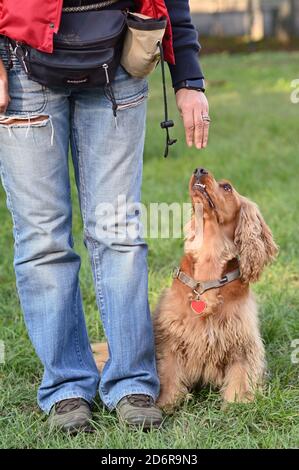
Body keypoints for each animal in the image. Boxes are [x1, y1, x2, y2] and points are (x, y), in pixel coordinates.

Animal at [92, 168, 278, 408]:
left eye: (227, 187)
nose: (199, 169)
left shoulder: (241, 338)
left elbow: (240, 374)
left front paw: (238, 403)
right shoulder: (172, 334)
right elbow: (169, 371)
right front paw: (165, 403)